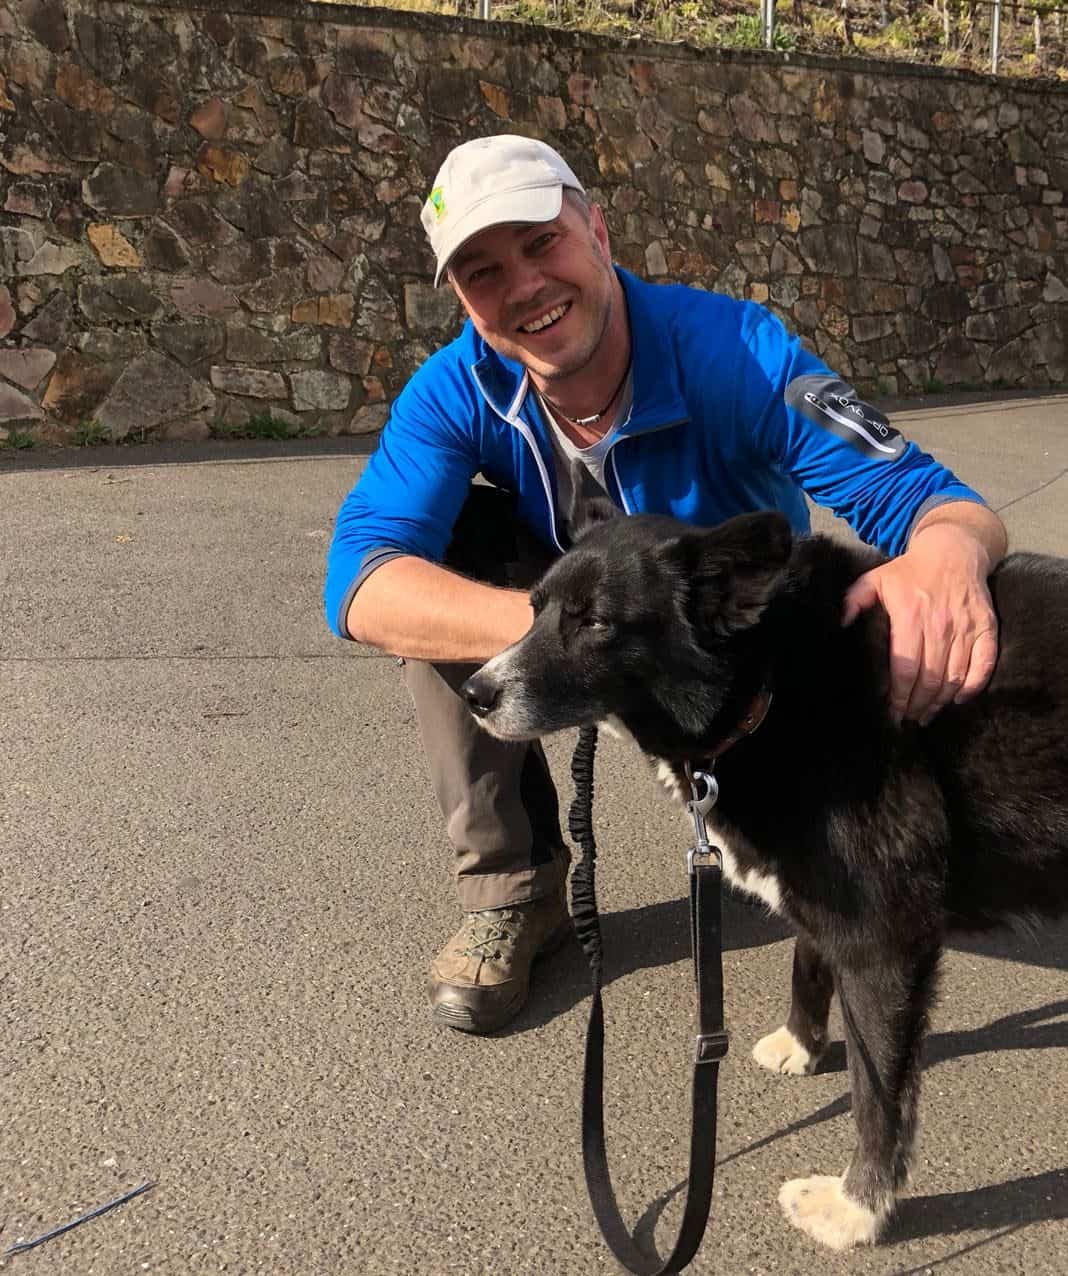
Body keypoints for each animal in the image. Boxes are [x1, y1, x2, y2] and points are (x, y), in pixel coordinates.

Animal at [459, 502, 1066, 1250]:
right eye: (533, 607)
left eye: (595, 621)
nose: (474, 692)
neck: (774, 679)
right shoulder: (824, 897)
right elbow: (807, 962)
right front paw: (801, 1046)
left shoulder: (884, 940)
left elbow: (876, 1095)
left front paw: (856, 1210)